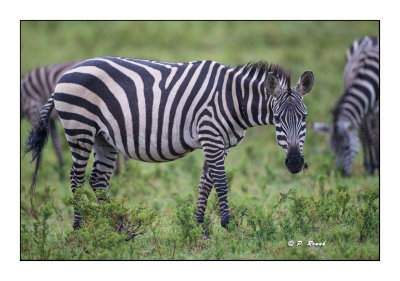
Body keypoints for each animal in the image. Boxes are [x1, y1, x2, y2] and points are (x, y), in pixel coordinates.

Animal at [24, 55, 312, 229]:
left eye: (304, 117)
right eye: (277, 118)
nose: (295, 163)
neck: (232, 99)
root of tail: (65, 75)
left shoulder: (221, 143)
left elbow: (205, 182)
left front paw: (199, 227)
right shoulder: (211, 135)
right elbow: (220, 182)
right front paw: (228, 226)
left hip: (102, 137)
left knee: (98, 180)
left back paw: (116, 227)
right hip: (79, 128)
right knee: (76, 179)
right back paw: (79, 228)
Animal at [312, 35, 378, 174]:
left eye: (347, 147)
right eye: (333, 149)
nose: (341, 173)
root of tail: (372, 37)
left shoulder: (375, 109)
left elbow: (374, 135)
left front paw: (375, 165)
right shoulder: (363, 109)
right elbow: (366, 135)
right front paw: (370, 166)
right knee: (364, 132)